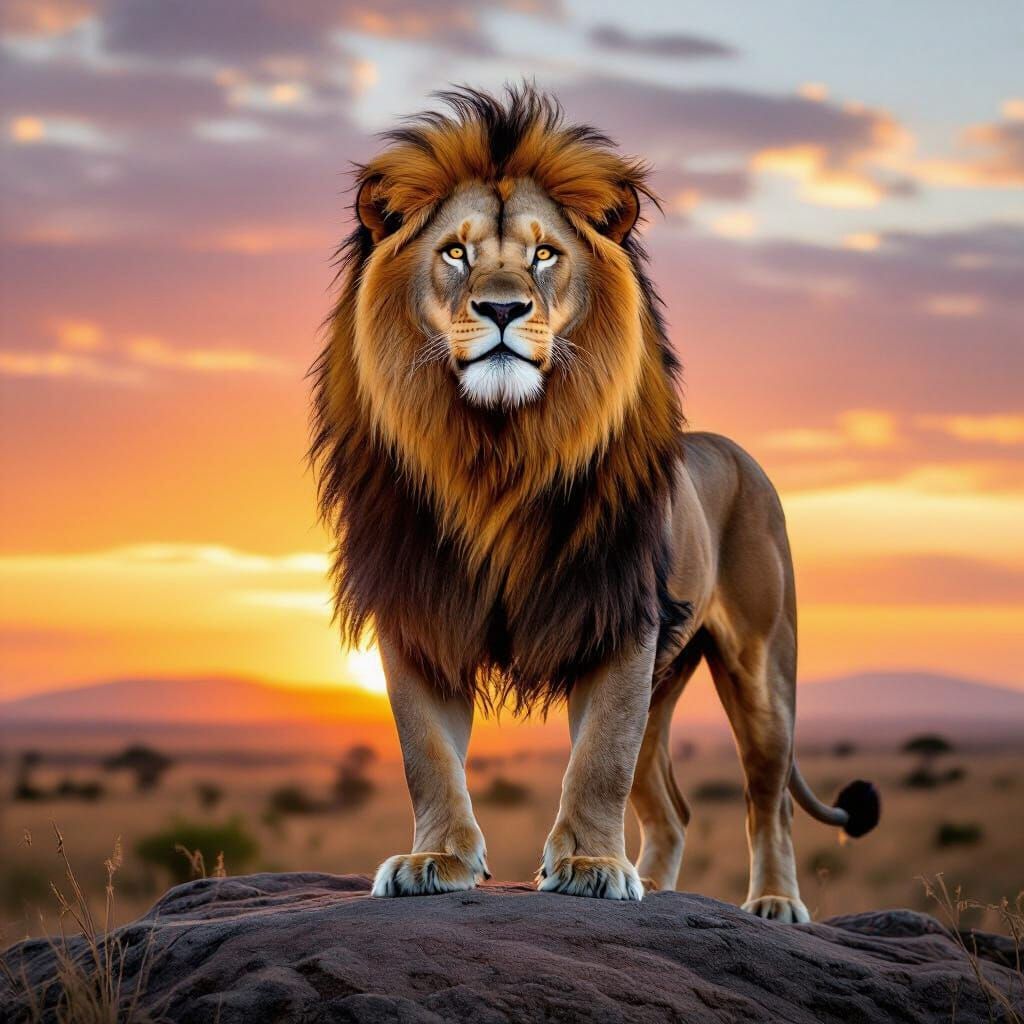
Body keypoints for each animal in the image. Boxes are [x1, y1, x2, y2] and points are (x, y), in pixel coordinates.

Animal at [311, 85, 879, 920]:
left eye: (545, 253)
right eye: (455, 252)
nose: (504, 309)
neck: (497, 451)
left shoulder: (617, 616)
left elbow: (599, 757)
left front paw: (587, 865)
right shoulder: (421, 610)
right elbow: (427, 753)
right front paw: (436, 860)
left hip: (761, 669)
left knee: (765, 798)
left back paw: (774, 903)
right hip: (668, 680)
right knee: (672, 809)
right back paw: (660, 887)